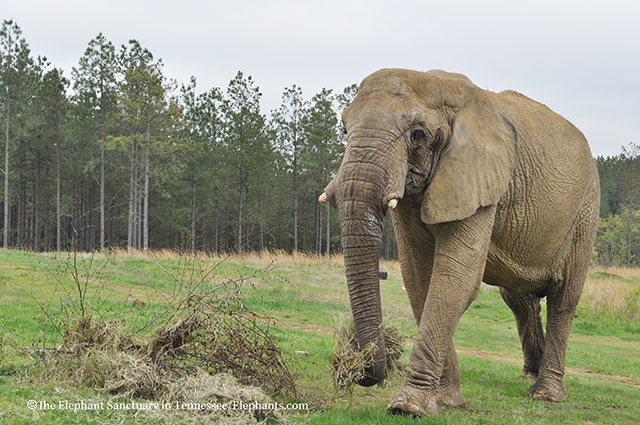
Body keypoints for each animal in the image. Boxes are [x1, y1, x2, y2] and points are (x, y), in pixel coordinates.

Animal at [320, 68, 600, 414]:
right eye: (344, 128)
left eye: (417, 135)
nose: (359, 370)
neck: (441, 87)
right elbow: (419, 280)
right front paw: (446, 401)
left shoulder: (477, 178)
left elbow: (454, 280)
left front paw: (408, 408)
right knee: (519, 297)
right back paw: (531, 375)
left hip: (585, 211)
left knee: (564, 297)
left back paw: (545, 394)